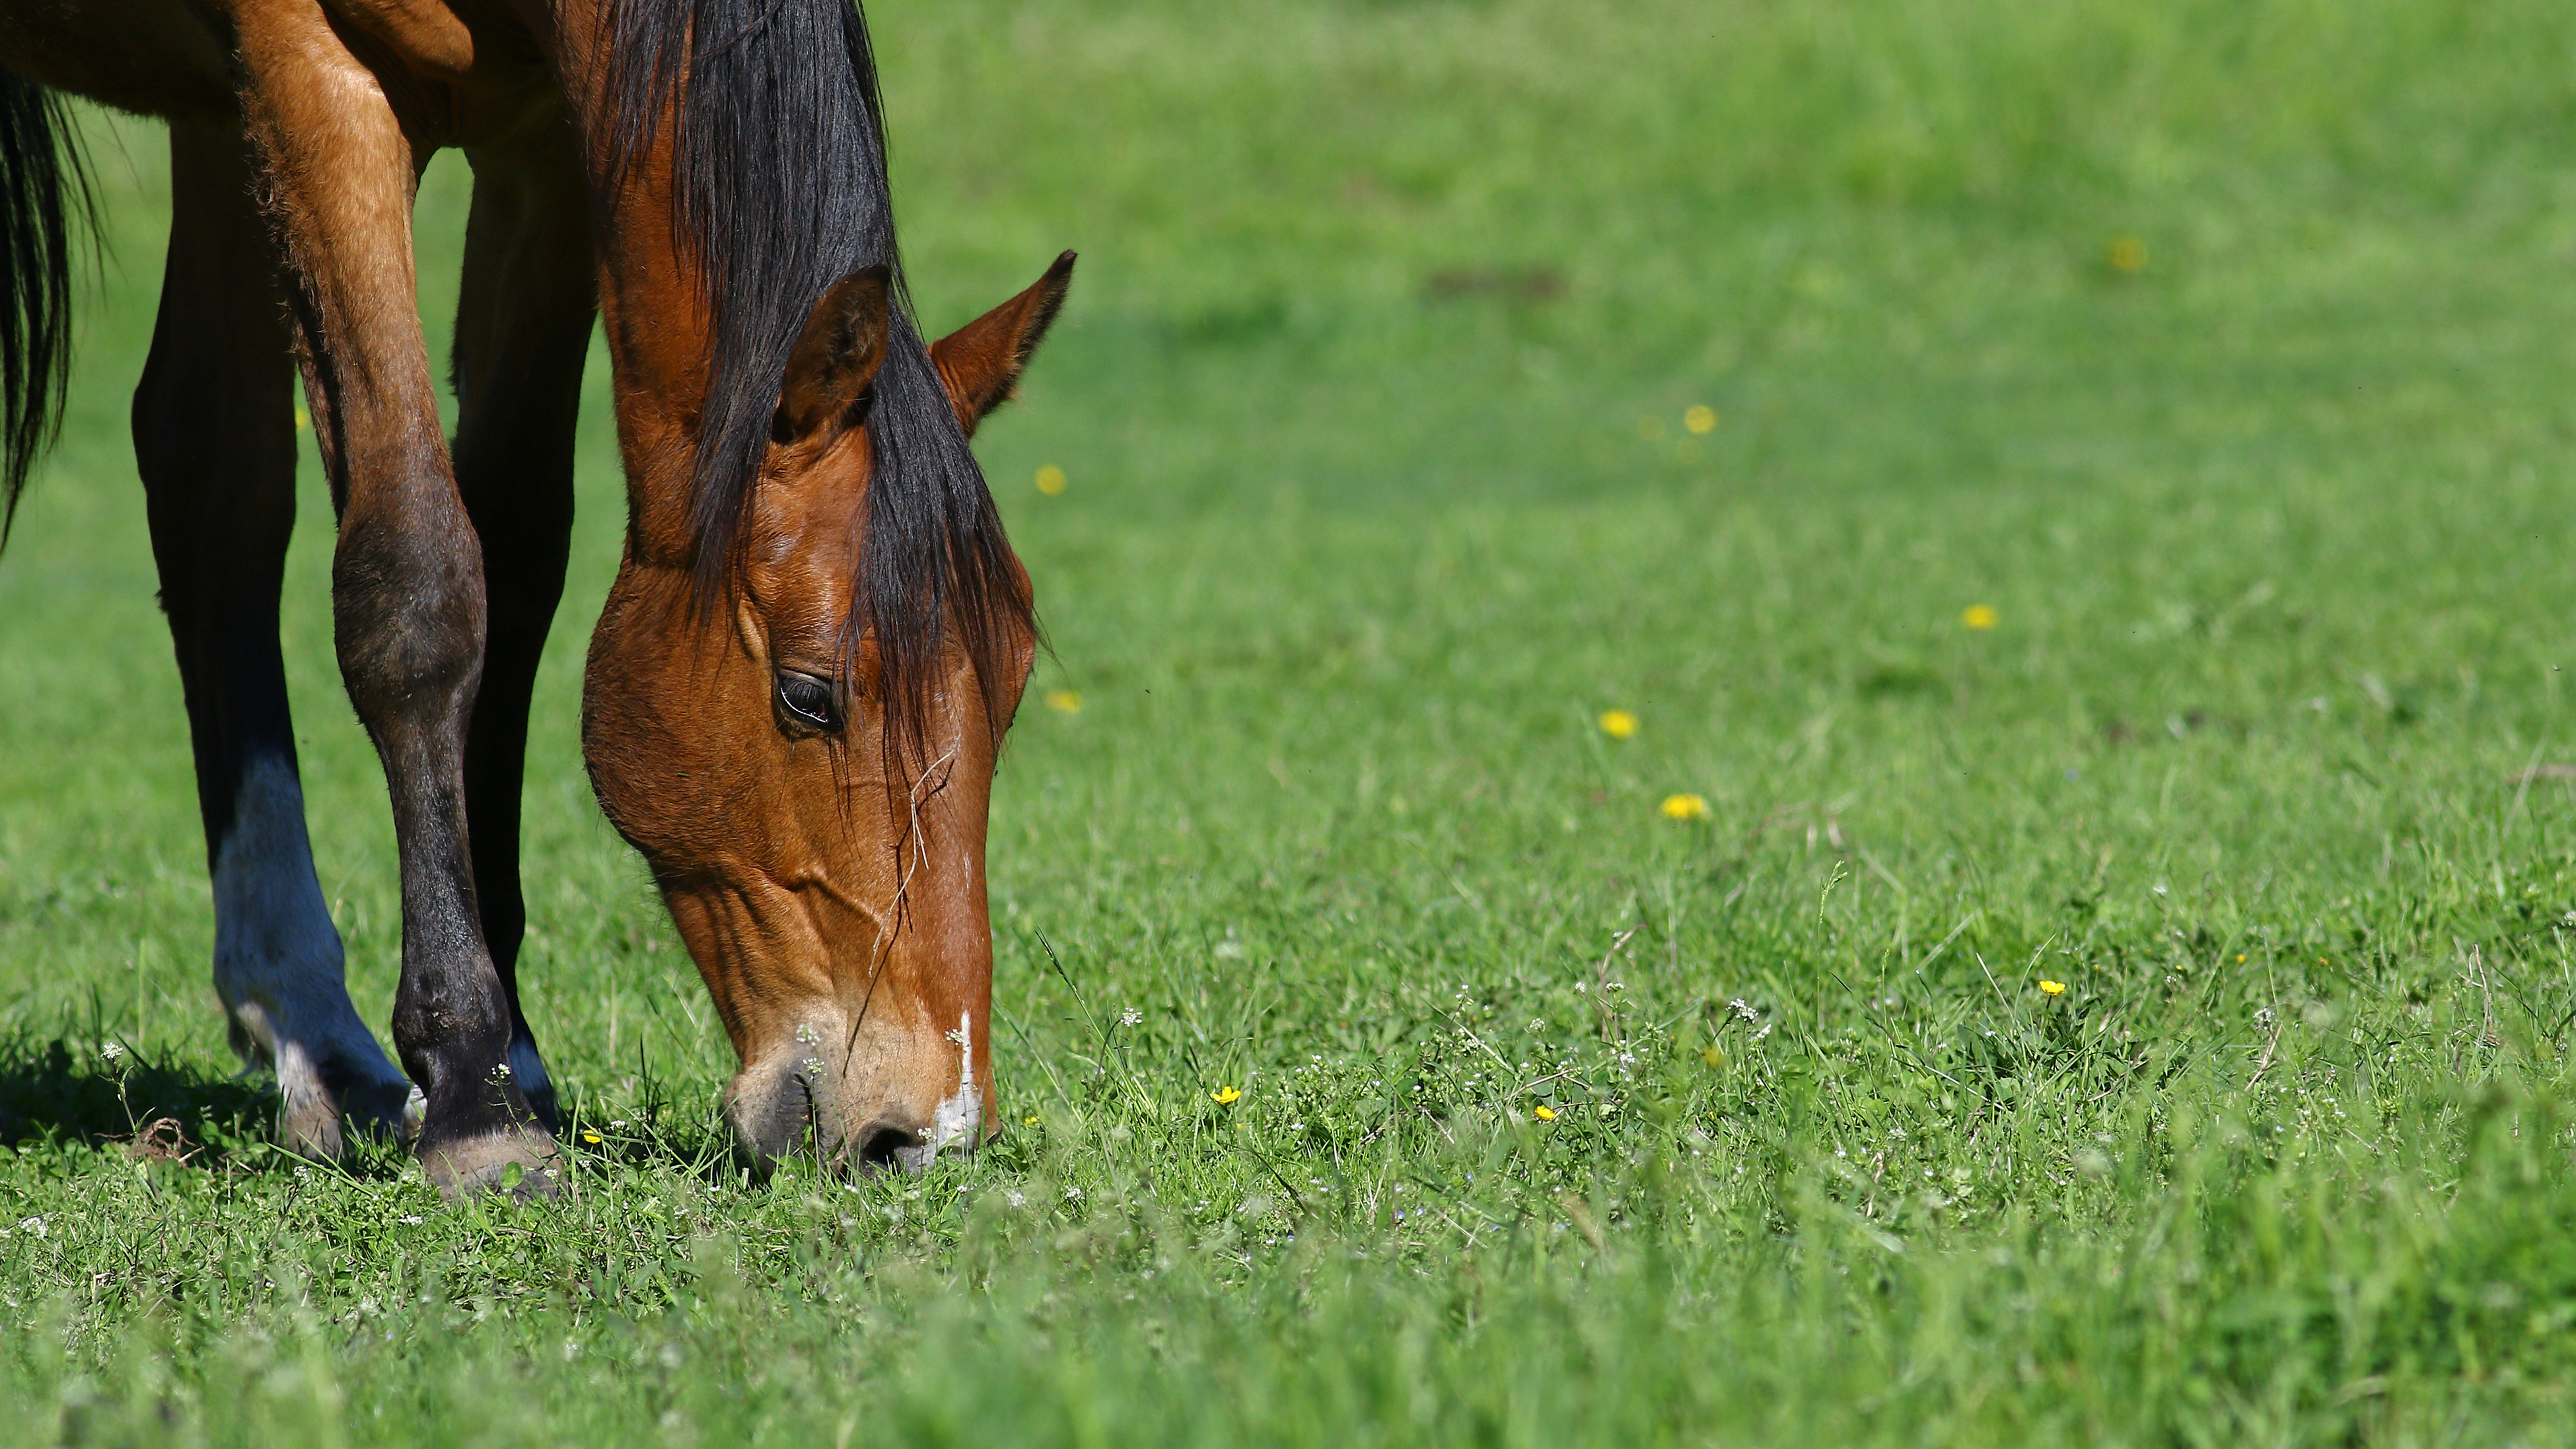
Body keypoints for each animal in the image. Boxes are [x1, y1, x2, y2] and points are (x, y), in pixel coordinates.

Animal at [0, 0, 1072, 1195]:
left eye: (1009, 696)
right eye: (807, 695)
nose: (922, 1132)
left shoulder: (545, 139)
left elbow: (512, 562)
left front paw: (508, 1047)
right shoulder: (314, 79)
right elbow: (420, 583)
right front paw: (475, 1091)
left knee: (213, 483)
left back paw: (308, 1028)